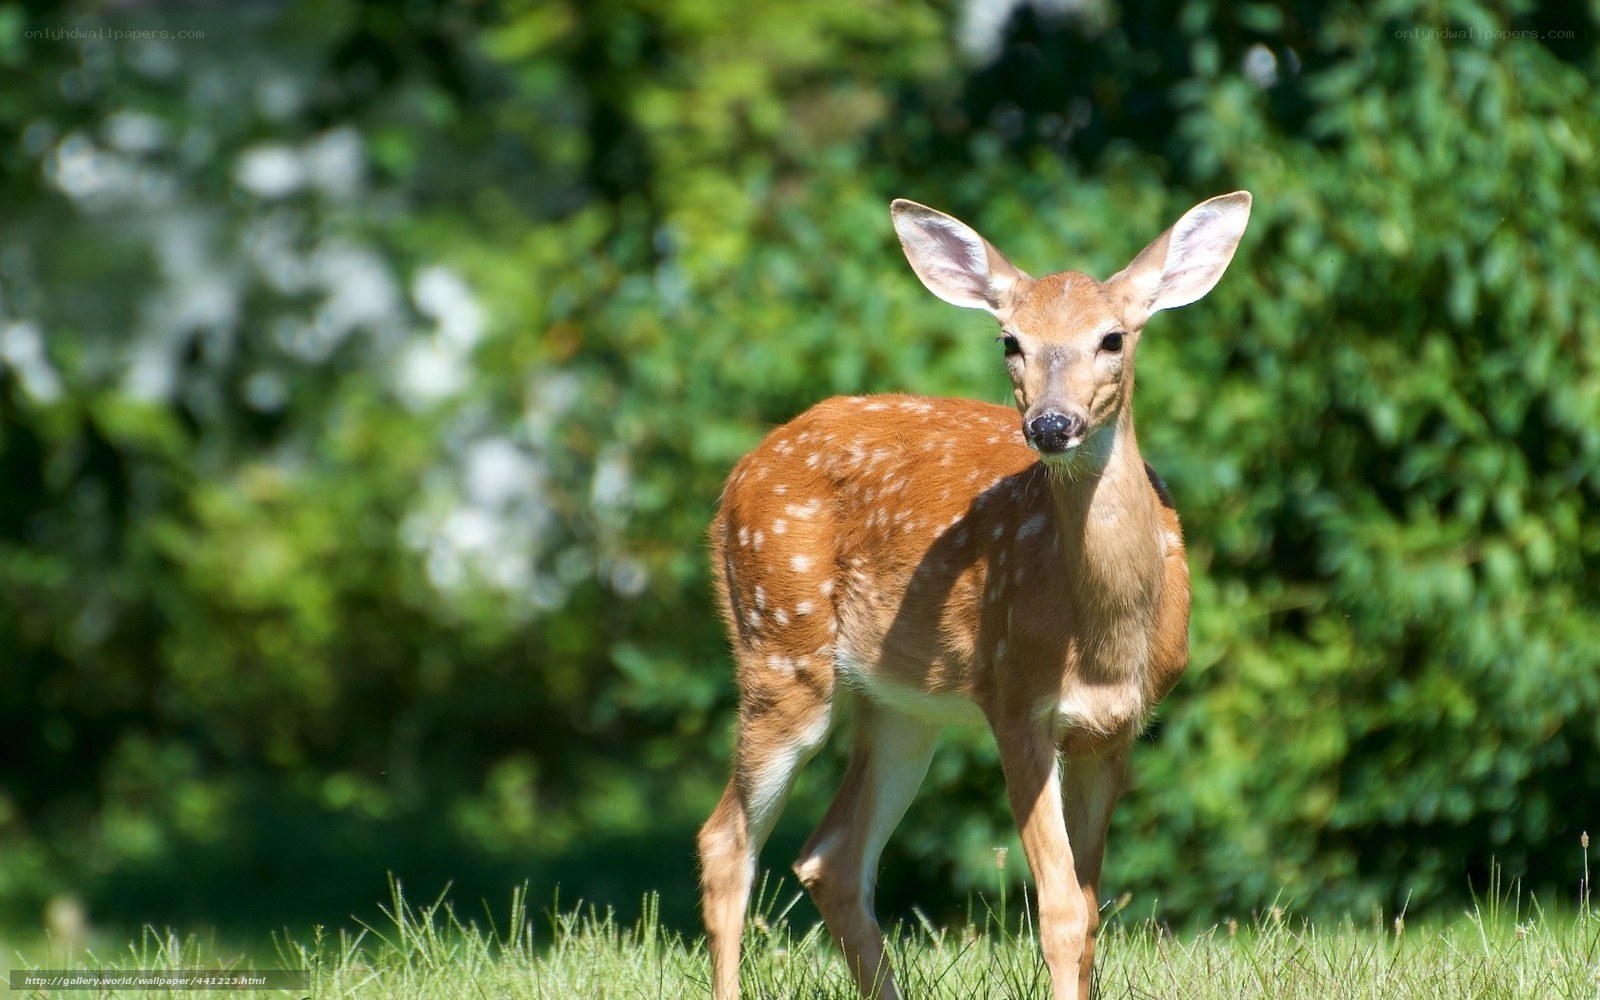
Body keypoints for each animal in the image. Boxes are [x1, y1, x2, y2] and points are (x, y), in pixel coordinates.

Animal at [697, 190, 1252, 1000]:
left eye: (1113, 338)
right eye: (1010, 342)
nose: (1051, 424)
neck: (1103, 636)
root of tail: (736, 476)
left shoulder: (1116, 728)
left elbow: (1091, 912)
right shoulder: (1014, 699)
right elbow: (1059, 910)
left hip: (903, 705)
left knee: (831, 856)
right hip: (780, 647)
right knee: (726, 841)